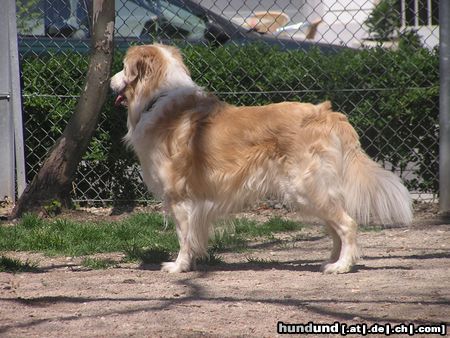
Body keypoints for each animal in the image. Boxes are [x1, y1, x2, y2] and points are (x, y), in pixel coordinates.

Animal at [110, 43, 414, 274]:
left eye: (124, 66)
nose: (110, 80)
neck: (157, 98)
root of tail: (326, 113)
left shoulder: (179, 197)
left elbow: (183, 237)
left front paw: (178, 266)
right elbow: (193, 237)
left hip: (305, 187)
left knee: (347, 224)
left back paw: (342, 266)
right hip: (310, 191)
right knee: (335, 227)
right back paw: (332, 261)